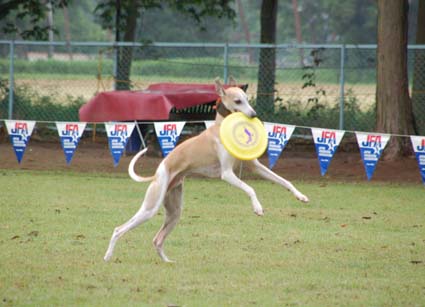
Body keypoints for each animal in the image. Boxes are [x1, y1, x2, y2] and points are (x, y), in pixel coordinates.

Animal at [103, 80, 308, 264]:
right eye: (238, 101)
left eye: (247, 99)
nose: (253, 114)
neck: (220, 128)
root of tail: (158, 171)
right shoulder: (227, 174)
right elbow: (250, 189)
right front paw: (257, 208)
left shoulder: (255, 166)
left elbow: (284, 181)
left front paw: (301, 196)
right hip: (150, 207)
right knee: (119, 229)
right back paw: (108, 256)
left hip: (174, 211)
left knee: (157, 239)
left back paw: (167, 261)